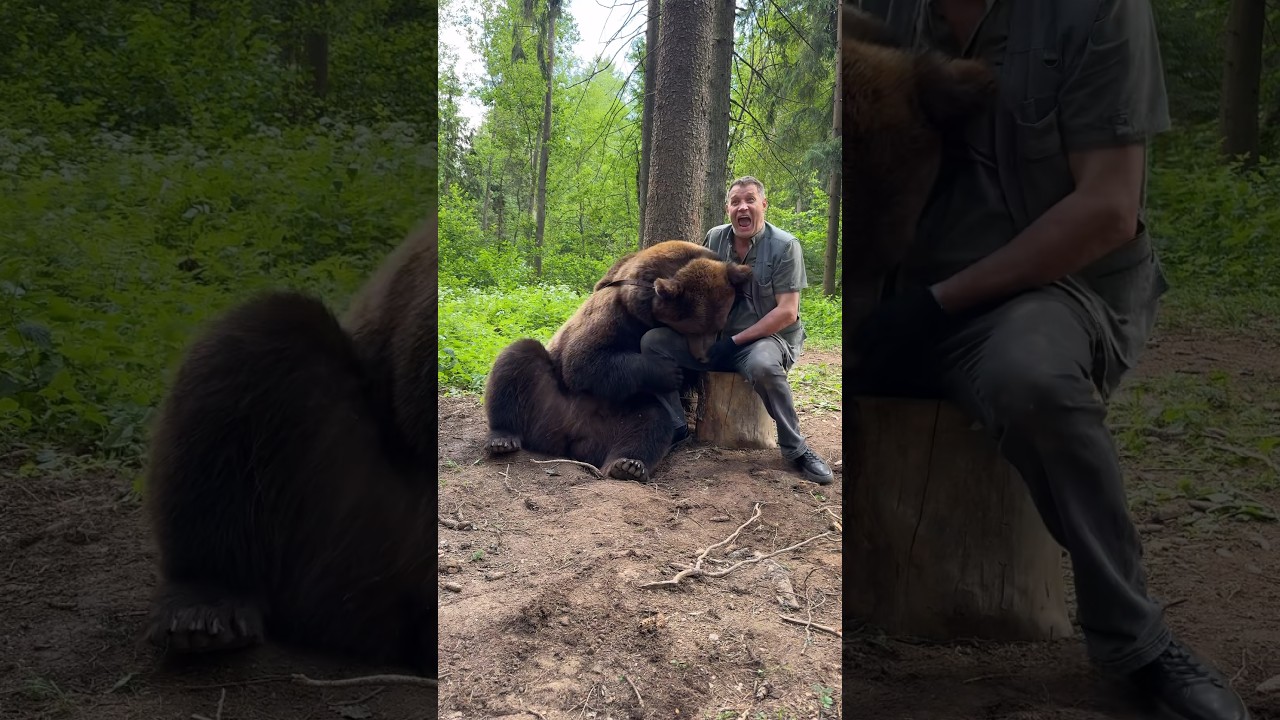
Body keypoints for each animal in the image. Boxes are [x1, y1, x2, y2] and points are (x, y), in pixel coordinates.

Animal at [484, 240, 751, 482]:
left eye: (717, 326)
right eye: (693, 329)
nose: (704, 356)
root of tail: (568, 435)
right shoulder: (615, 314)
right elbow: (584, 360)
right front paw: (666, 371)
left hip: (617, 417)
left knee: (650, 421)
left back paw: (627, 465)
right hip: (548, 396)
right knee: (519, 358)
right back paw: (502, 437)